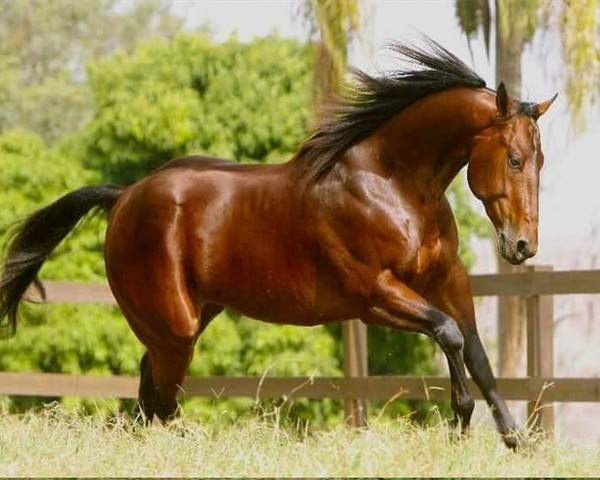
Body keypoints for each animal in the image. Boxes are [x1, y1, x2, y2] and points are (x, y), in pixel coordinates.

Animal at [0, 38, 556, 450]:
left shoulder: (447, 280)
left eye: (540, 160)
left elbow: (476, 351)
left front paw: (516, 441)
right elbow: (449, 334)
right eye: (513, 159)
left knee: (150, 388)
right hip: (175, 327)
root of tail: (125, 197)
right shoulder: (374, 295)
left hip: (191, 317)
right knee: (161, 397)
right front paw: (459, 420)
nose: (523, 246)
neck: (393, 183)